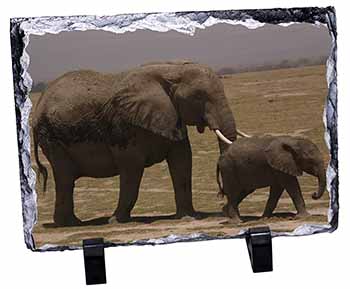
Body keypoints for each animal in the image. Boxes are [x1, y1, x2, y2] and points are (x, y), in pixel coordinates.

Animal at [32, 62, 241, 226]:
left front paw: (187, 217)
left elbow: (182, 161)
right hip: (52, 137)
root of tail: (39, 103)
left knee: (65, 180)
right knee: (65, 179)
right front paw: (116, 221)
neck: (172, 69)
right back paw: (69, 224)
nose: (222, 201)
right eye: (199, 97)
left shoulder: (172, 117)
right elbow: (132, 168)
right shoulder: (125, 126)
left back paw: (72, 222)